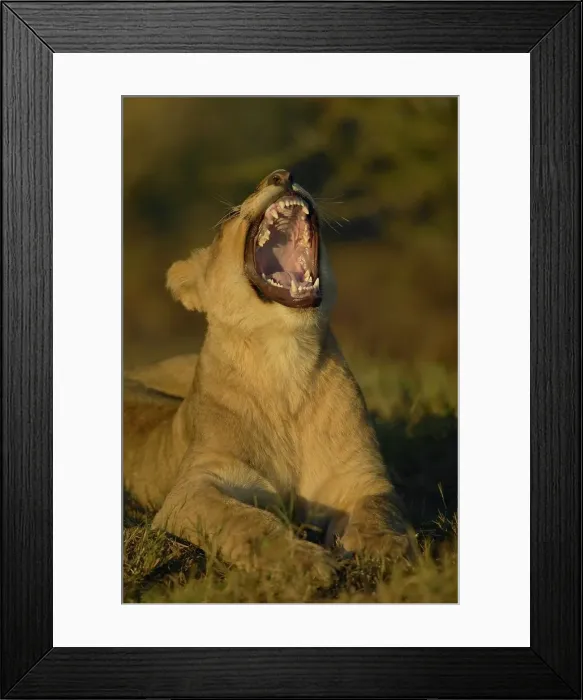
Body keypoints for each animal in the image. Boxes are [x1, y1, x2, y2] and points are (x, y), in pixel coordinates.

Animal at [124, 169, 410, 582]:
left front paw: (384, 549)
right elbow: (246, 521)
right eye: (229, 217)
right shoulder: (193, 488)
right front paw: (305, 562)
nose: (282, 175)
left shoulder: (361, 475)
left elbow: (380, 510)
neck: (286, 358)